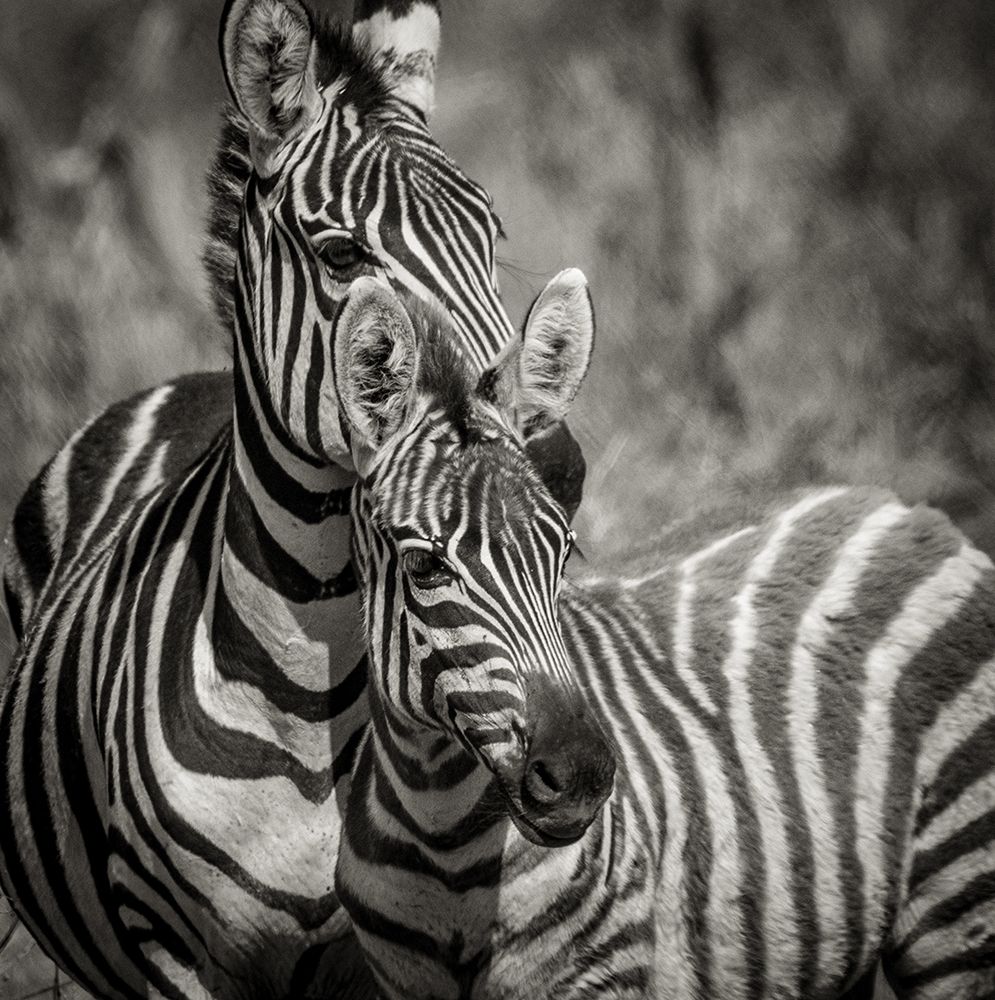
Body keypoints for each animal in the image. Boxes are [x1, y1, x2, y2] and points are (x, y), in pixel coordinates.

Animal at [331, 270, 995, 1000]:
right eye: (424, 566)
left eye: (564, 554)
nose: (583, 777)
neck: (442, 837)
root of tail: (901, 504)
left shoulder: (604, 975)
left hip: (957, 896)